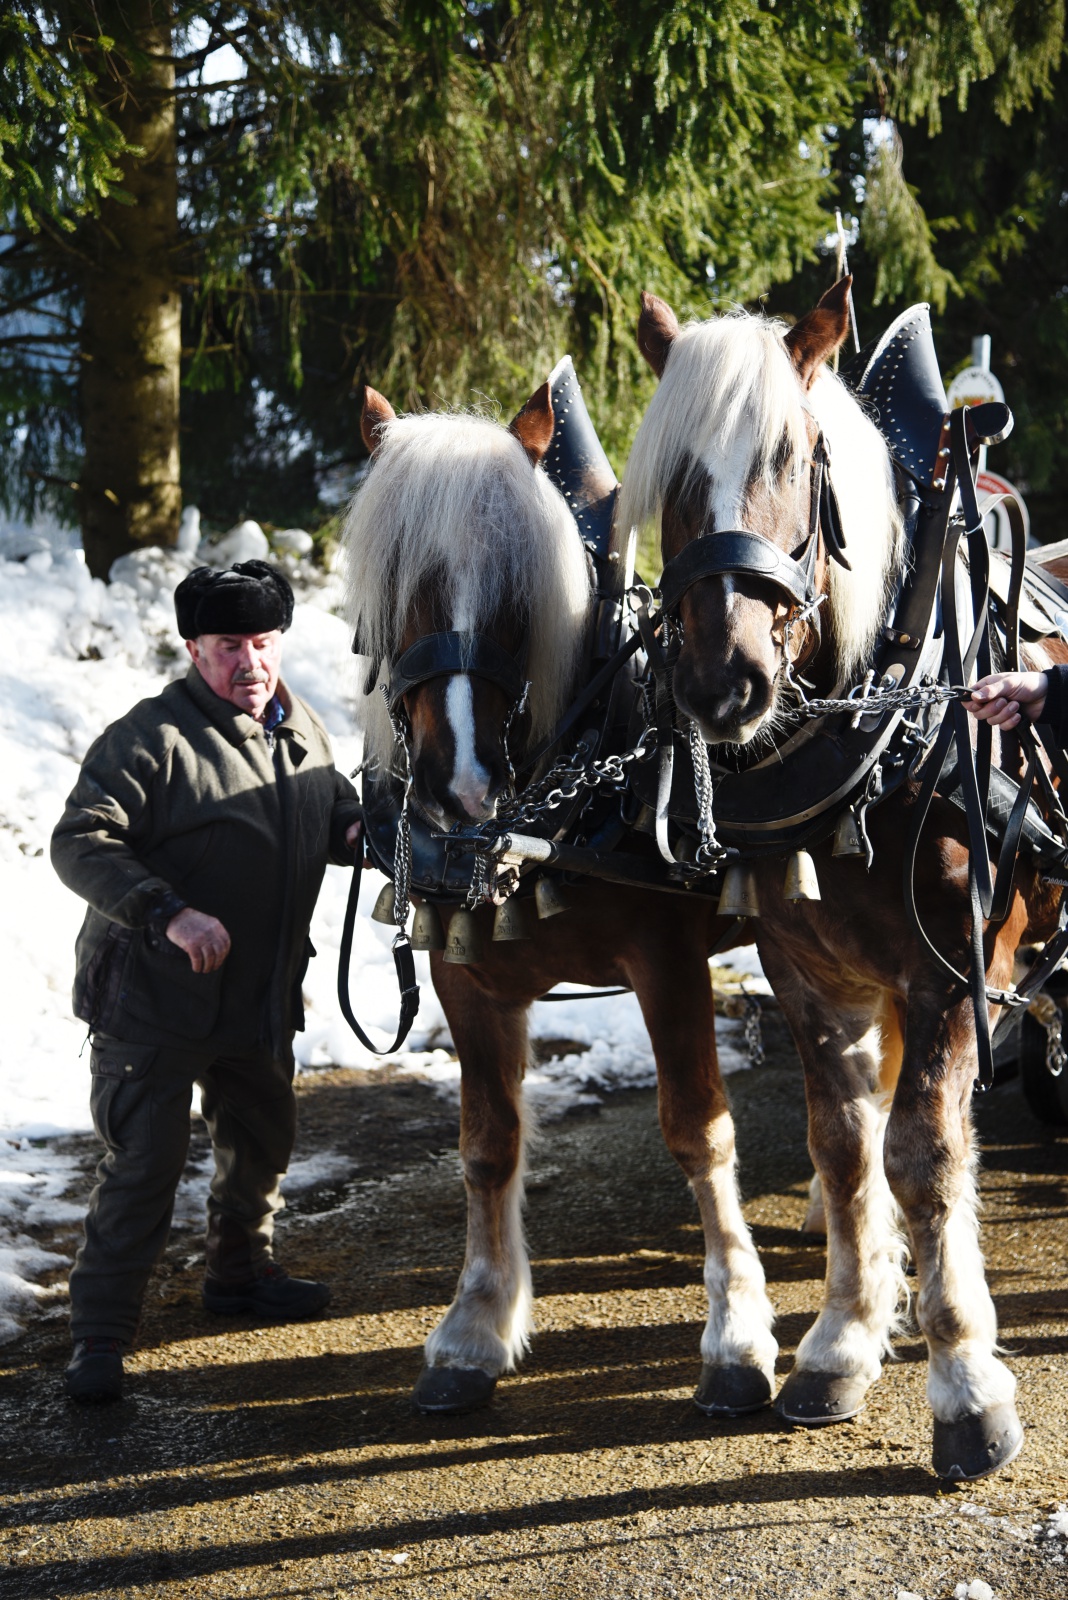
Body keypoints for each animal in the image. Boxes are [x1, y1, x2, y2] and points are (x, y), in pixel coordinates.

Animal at [617, 278, 1068, 1484]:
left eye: (792, 454)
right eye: (671, 475)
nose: (724, 680)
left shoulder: (955, 968)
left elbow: (924, 1154)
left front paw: (967, 1387)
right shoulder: (807, 968)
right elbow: (845, 1143)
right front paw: (840, 1340)